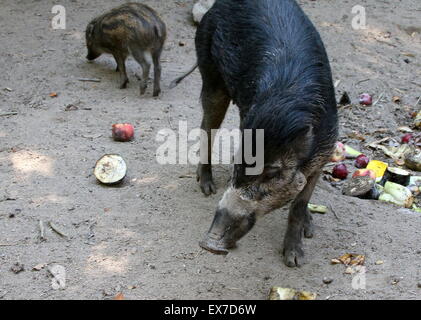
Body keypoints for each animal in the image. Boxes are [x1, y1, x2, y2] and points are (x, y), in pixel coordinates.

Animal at [196, 0, 338, 268]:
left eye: (272, 172)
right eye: (237, 165)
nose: (208, 243)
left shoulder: (325, 153)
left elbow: (299, 203)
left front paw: (295, 260)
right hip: (210, 71)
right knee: (207, 127)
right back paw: (206, 187)